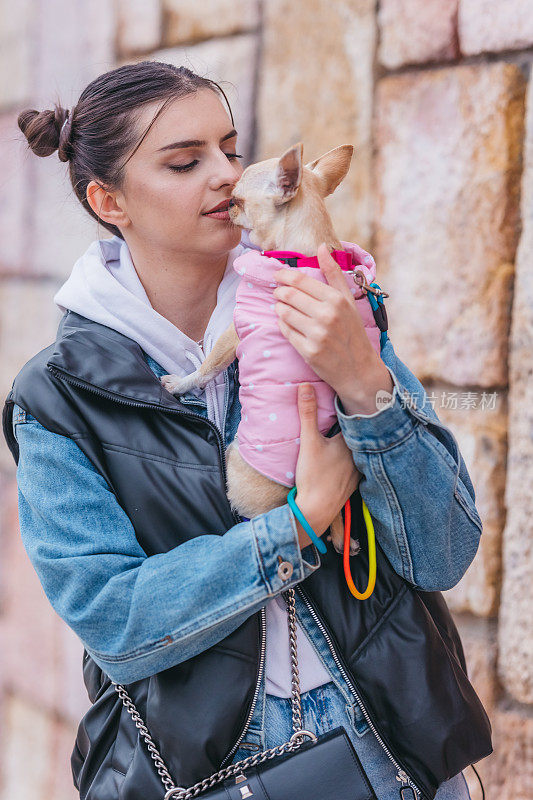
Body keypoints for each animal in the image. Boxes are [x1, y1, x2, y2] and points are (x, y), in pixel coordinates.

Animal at [161, 142, 358, 556]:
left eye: (235, 200)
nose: (226, 207)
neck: (304, 255)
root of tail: (290, 497)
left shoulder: (234, 334)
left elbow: (205, 369)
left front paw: (181, 383)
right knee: (335, 515)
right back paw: (340, 536)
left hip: (233, 456)